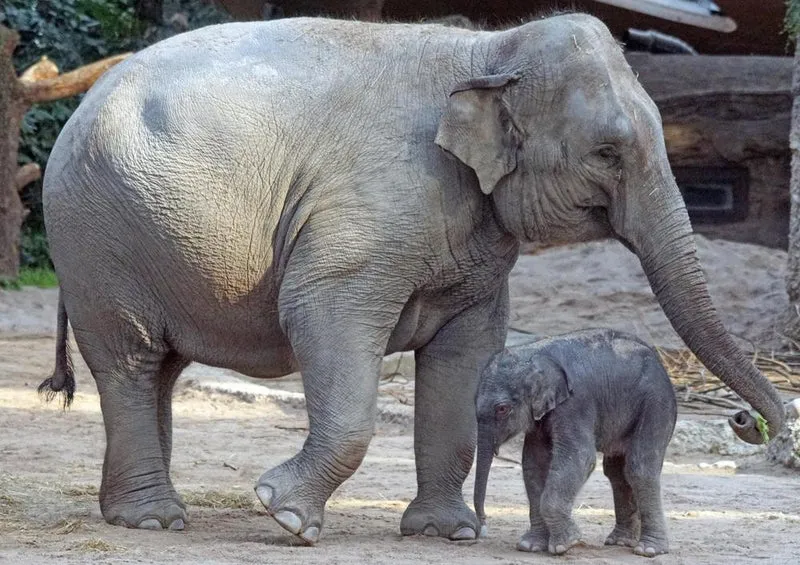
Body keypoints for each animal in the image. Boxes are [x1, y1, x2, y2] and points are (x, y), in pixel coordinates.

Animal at [473, 329, 677, 557]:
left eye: (502, 409)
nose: (483, 528)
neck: (533, 352)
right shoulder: (542, 415)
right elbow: (533, 464)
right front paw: (530, 546)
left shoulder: (575, 403)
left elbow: (580, 457)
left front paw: (566, 544)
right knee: (617, 472)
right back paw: (620, 541)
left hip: (655, 403)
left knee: (640, 467)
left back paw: (648, 549)